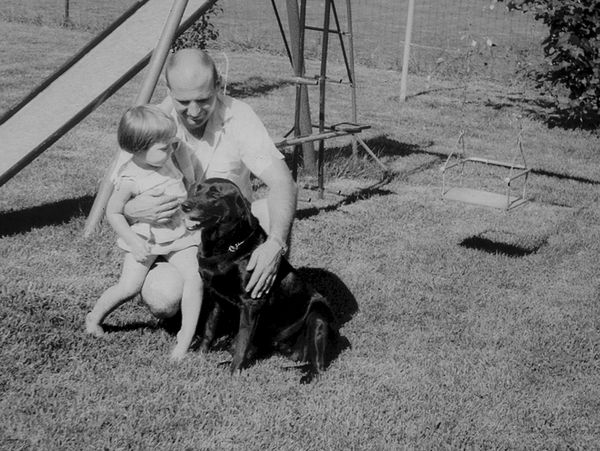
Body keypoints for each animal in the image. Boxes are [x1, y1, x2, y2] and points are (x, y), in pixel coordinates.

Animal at [180, 178, 336, 384]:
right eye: (197, 189)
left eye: (215, 194)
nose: (184, 205)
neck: (224, 247)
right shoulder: (215, 297)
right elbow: (209, 329)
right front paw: (200, 355)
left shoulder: (252, 302)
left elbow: (242, 342)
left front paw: (234, 372)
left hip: (319, 316)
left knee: (319, 365)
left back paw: (307, 376)